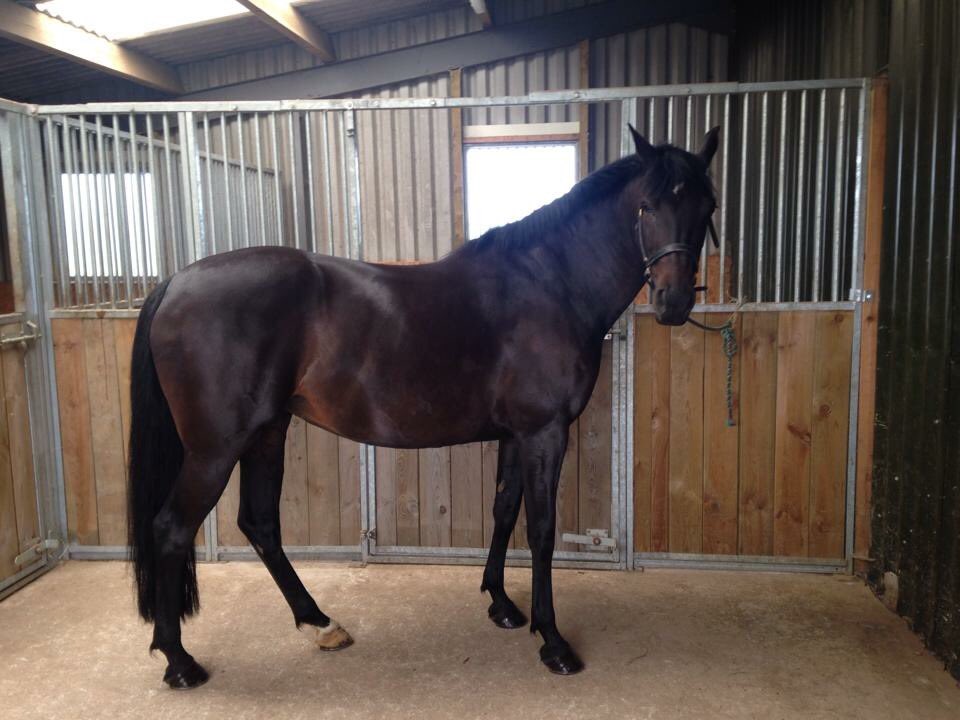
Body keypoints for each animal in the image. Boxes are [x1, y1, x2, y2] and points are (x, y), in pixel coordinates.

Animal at [128, 124, 721, 688]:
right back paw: (179, 661)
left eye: (706, 208)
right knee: (172, 528)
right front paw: (552, 641)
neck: (550, 284)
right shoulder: (545, 432)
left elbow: (504, 511)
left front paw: (501, 605)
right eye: (647, 206)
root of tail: (176, 282)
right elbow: (542, 529)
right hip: (215, 448)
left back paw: (320, 624)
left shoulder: (515, 434)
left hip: (266, 432)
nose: (673, 302)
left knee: (259, 523)